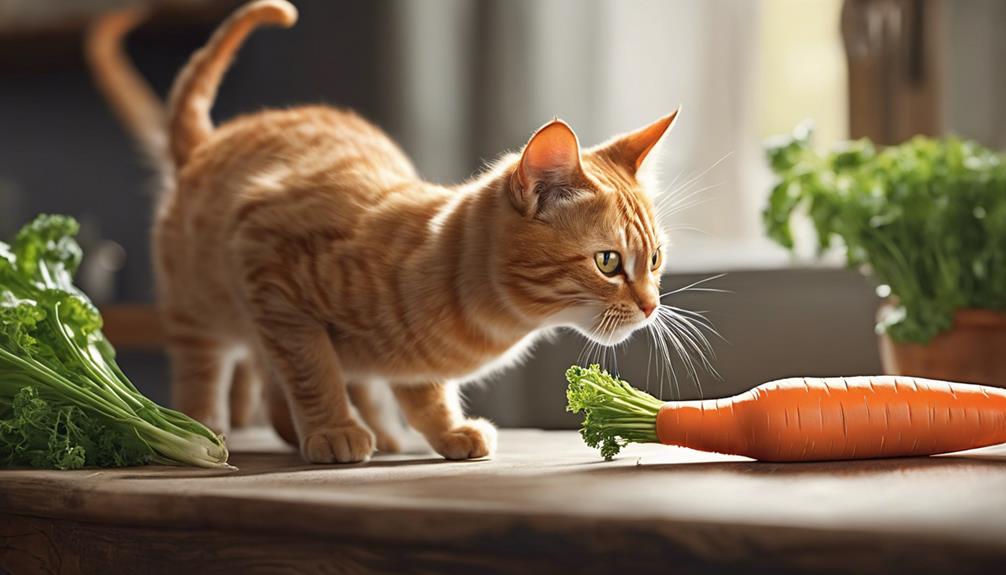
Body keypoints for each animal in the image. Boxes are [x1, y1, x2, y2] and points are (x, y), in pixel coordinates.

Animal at [88, 0, 676, 462]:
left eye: (653, 260)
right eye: (608, 262)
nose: (651, 306)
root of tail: (207, 143)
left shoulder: (409, 361)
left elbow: (424, 392)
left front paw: (446, 430)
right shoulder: (272, 279)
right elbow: (312, 369)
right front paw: (333, 428)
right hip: (201, 308)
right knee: (207, 370)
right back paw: (209, 426)